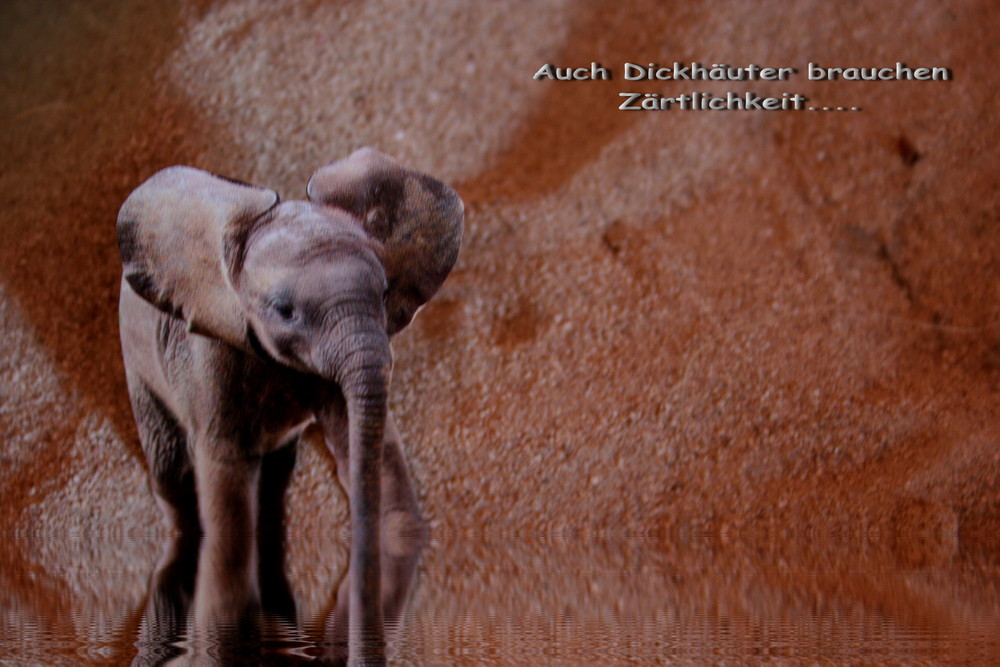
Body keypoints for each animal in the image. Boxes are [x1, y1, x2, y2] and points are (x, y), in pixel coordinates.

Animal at [119, 149, 462, 664]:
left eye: (384, 294)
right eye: (283, 310)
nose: (362, 553)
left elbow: (361, 440)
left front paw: (404, 535)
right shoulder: (210, 350)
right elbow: (225, 458)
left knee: (276, 476)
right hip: (137, 360)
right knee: (170, 470)